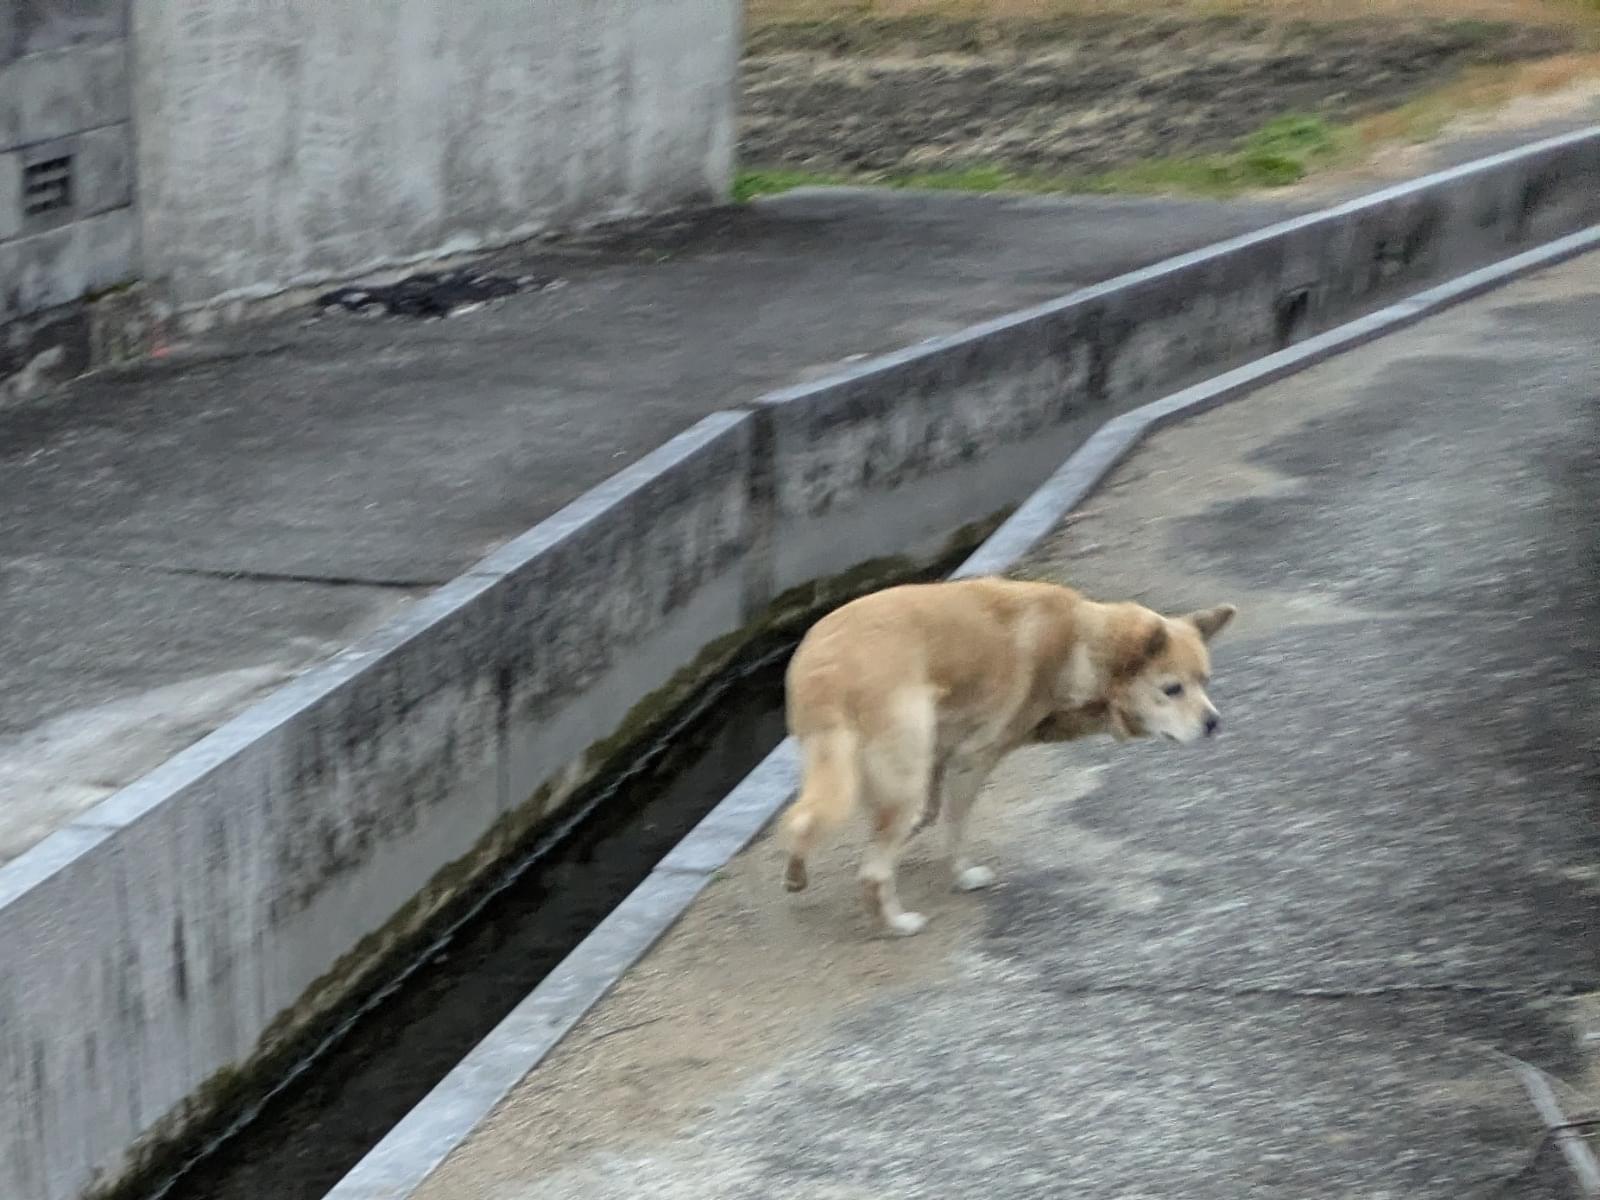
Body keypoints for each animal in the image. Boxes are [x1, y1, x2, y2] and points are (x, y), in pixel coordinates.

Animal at [778, 577, 1235, 935]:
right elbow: (953, 830)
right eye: (1172, 689)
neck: (1082, 646)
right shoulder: (972, 763)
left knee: (803, 820)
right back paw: (898, 923)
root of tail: (828, 670)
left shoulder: (938, 759)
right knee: (869, 870)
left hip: (856, 766)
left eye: (1206, 681)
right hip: (900, 773)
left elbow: (925, 816)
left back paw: (798, 875)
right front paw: (962, 875)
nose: (1214, 723)